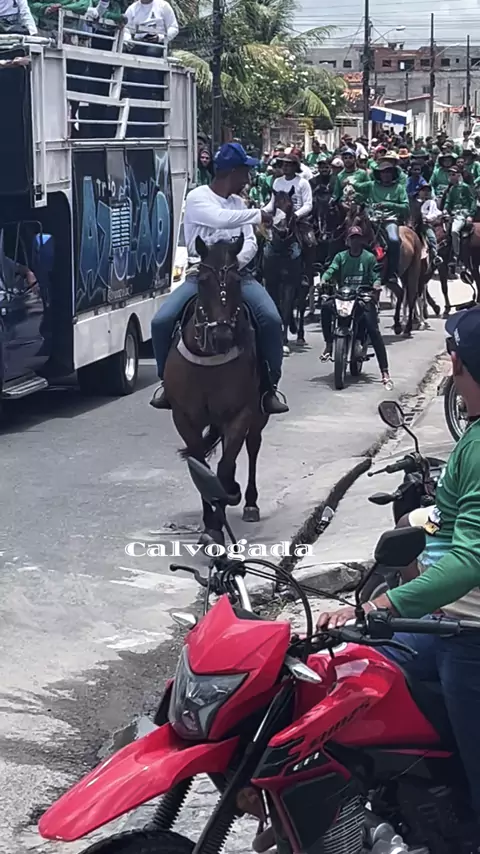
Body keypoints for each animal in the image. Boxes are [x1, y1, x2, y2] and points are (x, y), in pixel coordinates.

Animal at [163, 236, 268, 545]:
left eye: (236, 280)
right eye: (203, 280)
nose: (222, 335)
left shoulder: (240, 414)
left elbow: (224, 466)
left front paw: (227, 498)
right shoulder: (184, 417)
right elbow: (201, 467)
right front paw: (211, 525)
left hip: (259, 414)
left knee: (253, 446)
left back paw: (249, 502)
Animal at [263, 188, 305, 354]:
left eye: (290, 206)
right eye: (274, 207)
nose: (280, 230)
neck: (281, 250)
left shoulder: (289, 283)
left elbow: (286, 309)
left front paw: (284, 342)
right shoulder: (271, 281)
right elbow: (277, 307)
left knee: (300, 305)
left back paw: (299, 336)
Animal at [345, 203, 423, 337]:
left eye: (359, 221)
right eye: (346, 220)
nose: (349, 241)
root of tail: (411, 232)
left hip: (413, 272)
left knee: (411, 296)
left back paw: (407, 328)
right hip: (393, 278)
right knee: (400, 293)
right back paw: (397, 326)